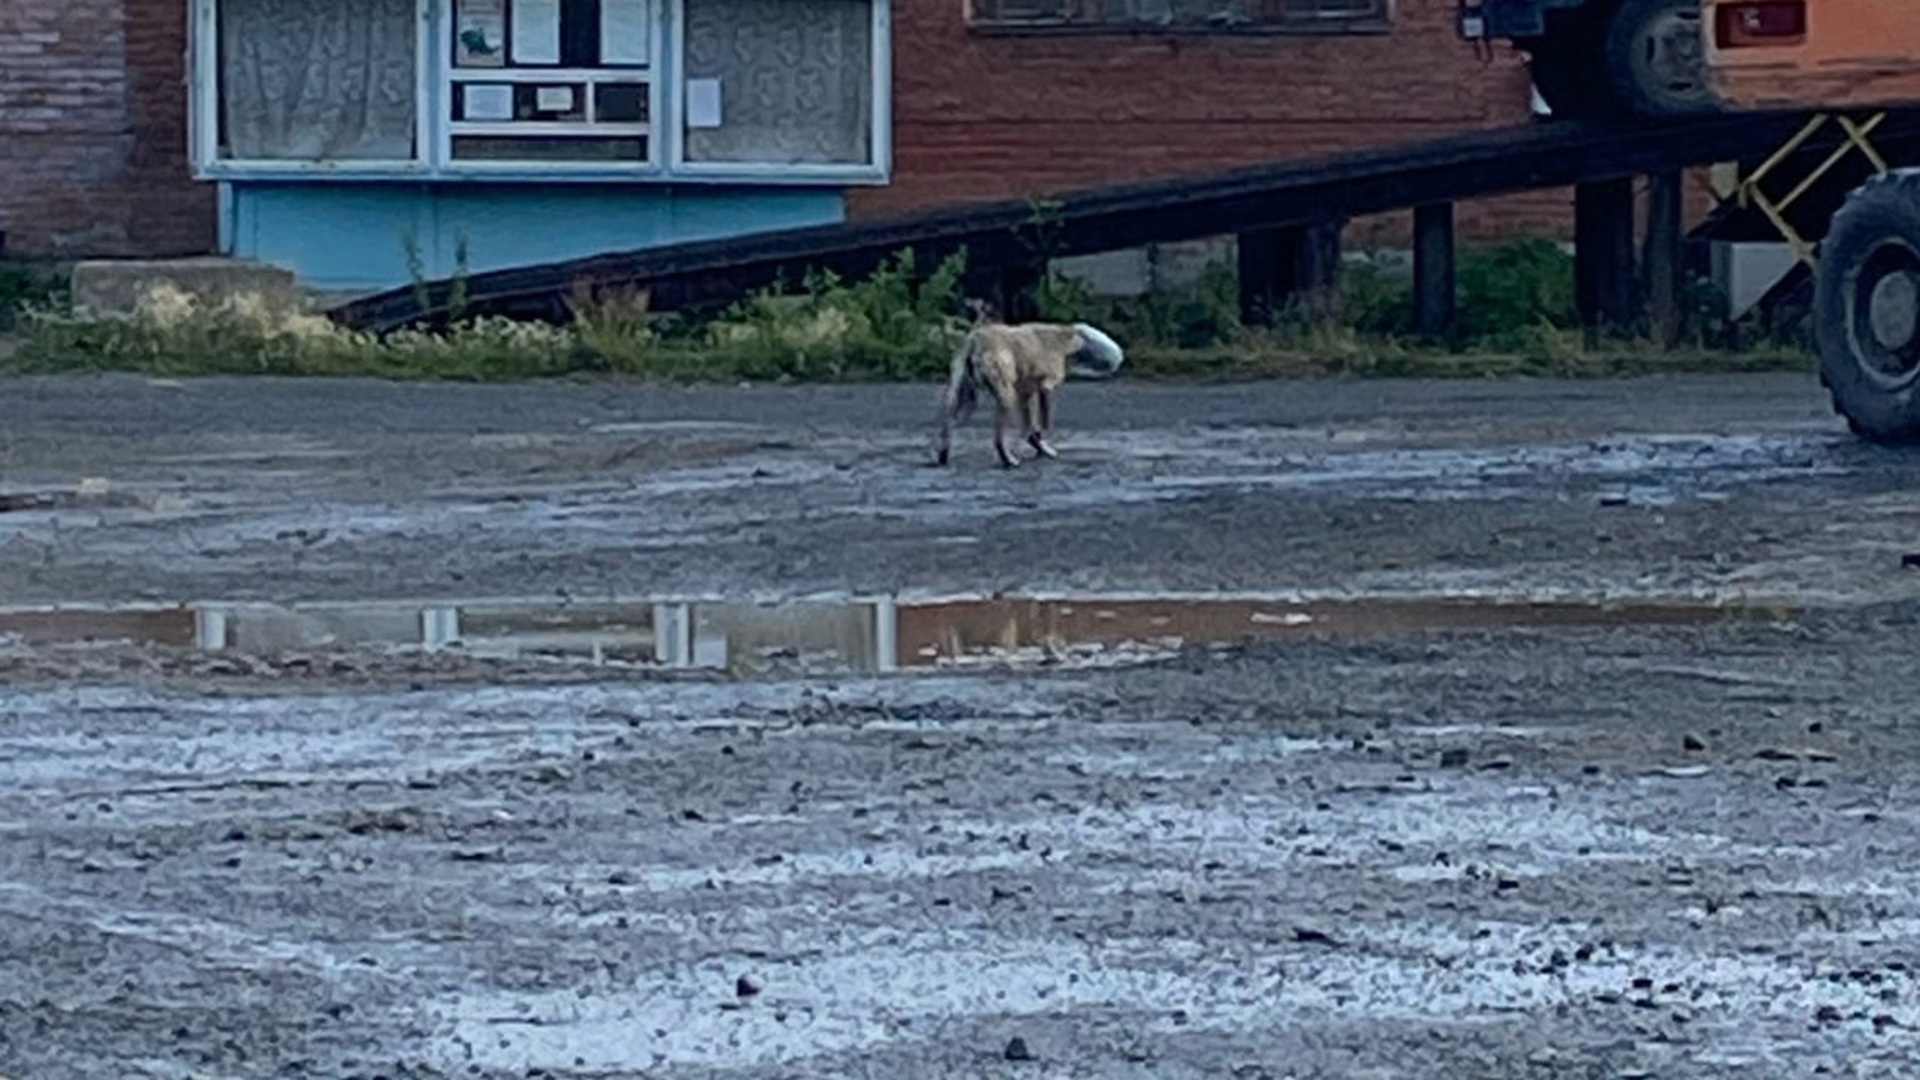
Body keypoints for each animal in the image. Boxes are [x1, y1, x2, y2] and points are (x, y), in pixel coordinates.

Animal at [933, 315, 1121, 466]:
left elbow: (1030, 422)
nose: (1113, 366)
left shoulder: (1026, 391)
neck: (1066, 336)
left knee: (949, 422)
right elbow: (1044, 418)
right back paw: (1007, 459)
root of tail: (975, 339)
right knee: (998, 435)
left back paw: (943, 454)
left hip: (965, 395)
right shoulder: (1046, 386)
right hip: (1004, 395)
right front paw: (1042, 441)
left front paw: (1039, 445)